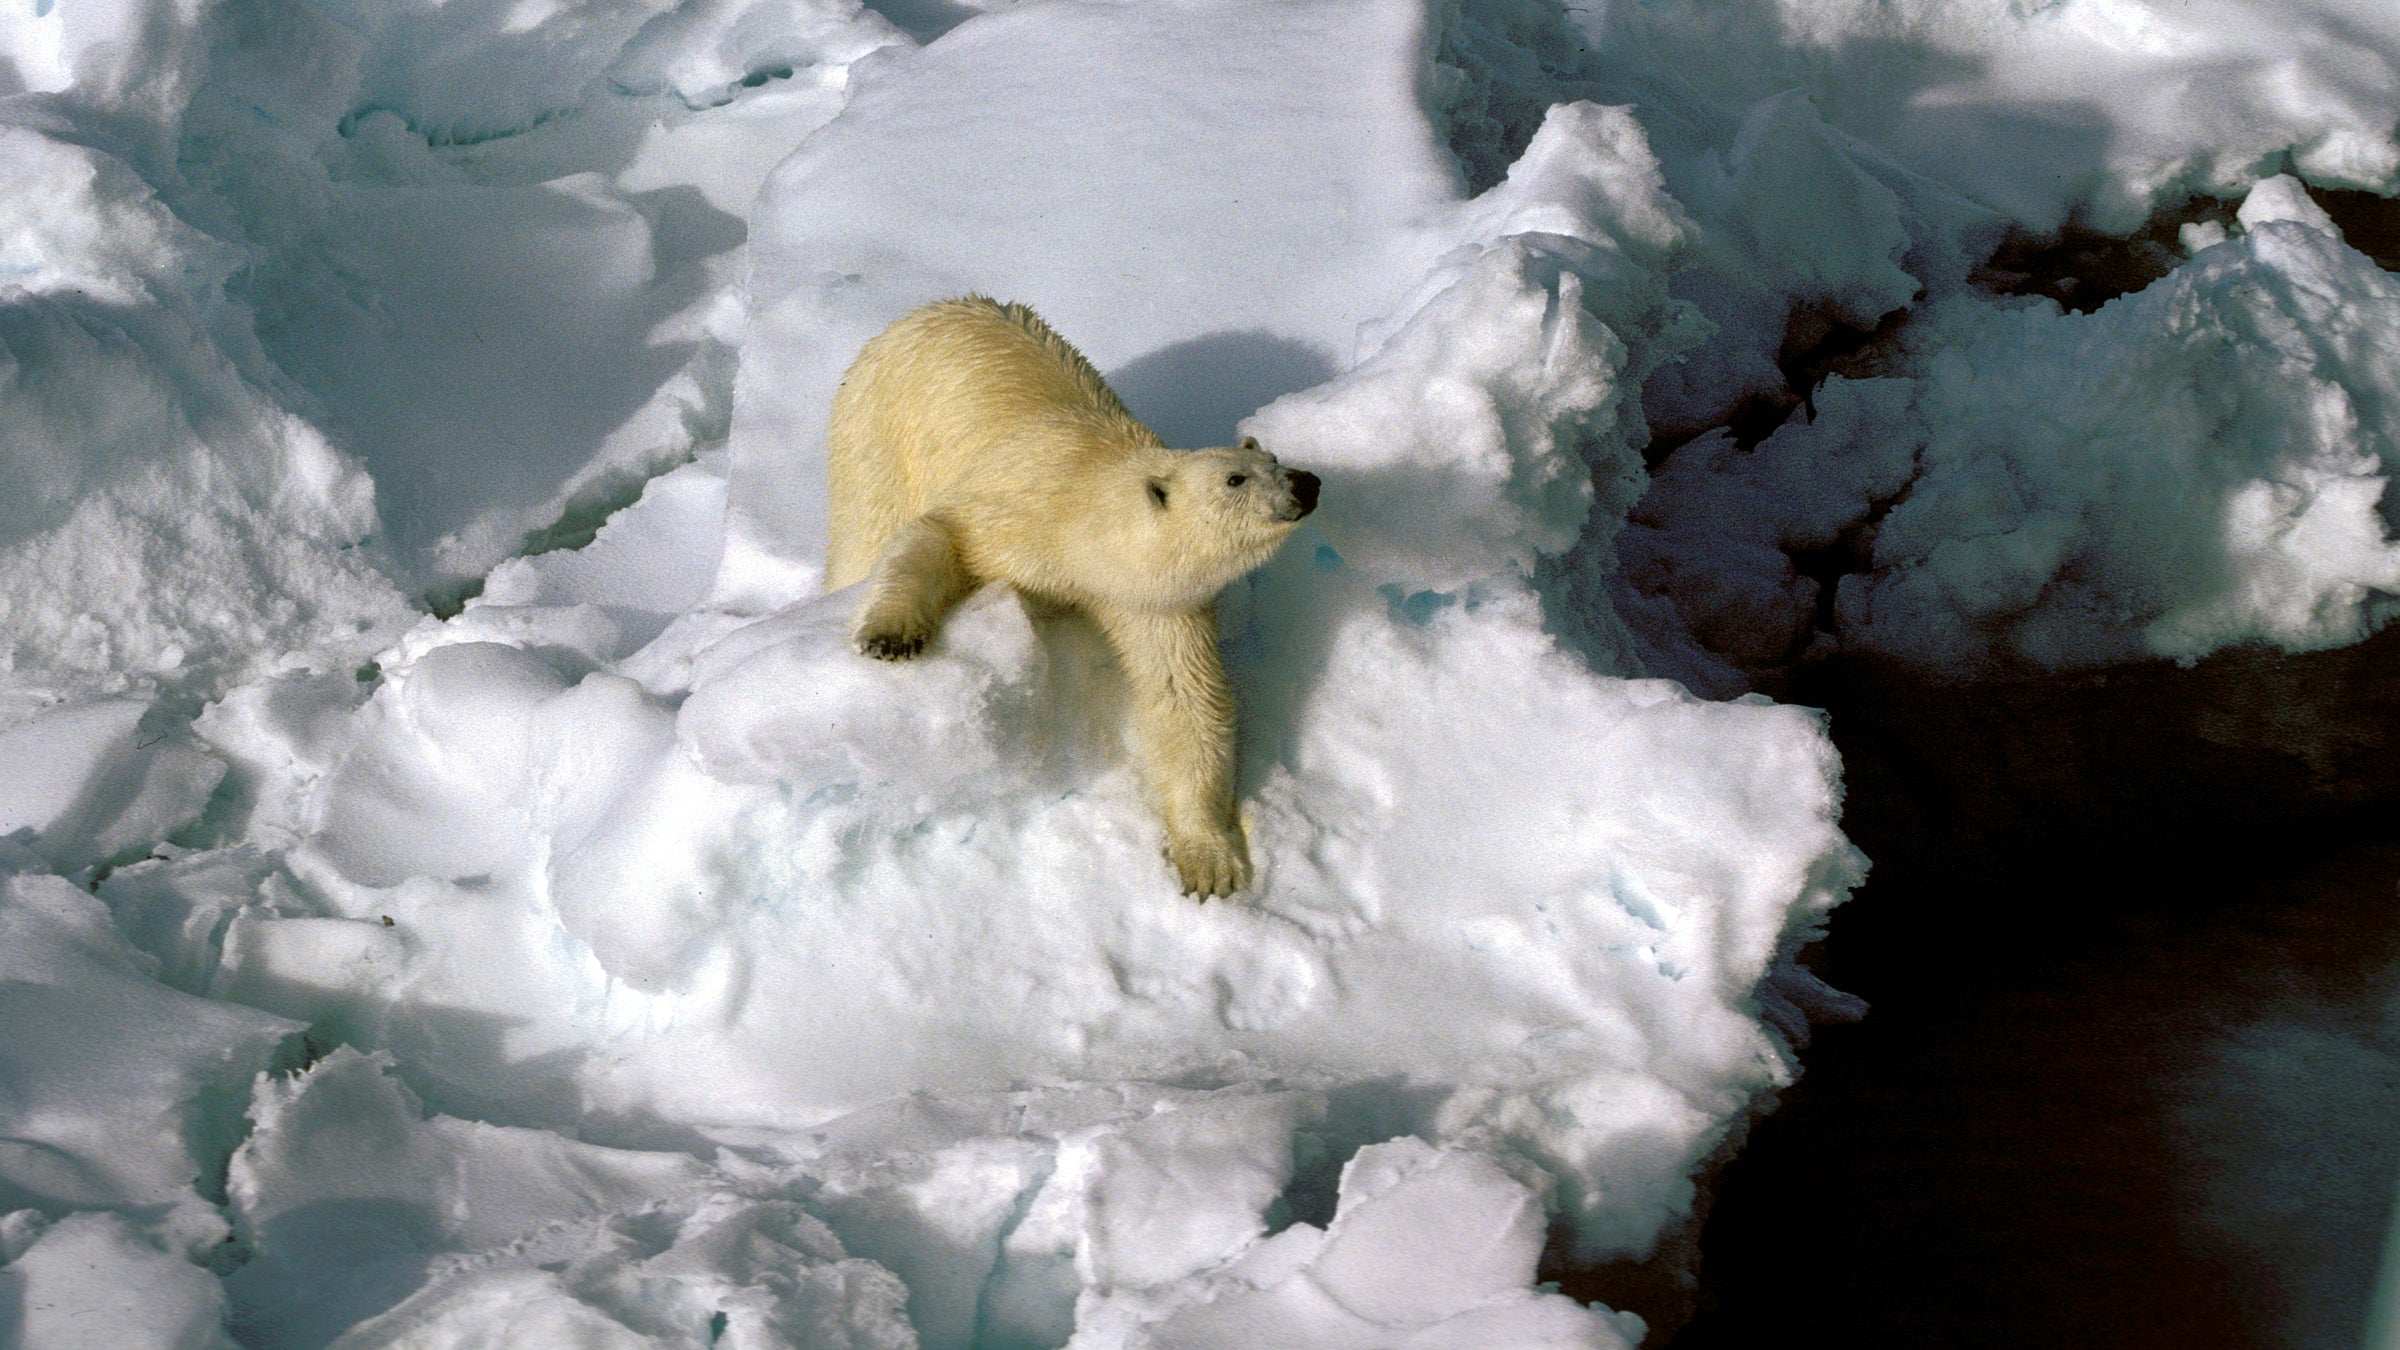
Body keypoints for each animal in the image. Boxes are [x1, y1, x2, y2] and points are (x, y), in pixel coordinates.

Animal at [820, 296, 1315, 893]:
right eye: (1234, 480)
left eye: (1274, 461)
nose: (1306, 483)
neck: (1082, 513)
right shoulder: (1015, 510)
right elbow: (938, 537)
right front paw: (891, 636)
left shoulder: (1154, 602)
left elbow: (1186, 698)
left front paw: (1208, 860)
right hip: (874, 434)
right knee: (866, 532)